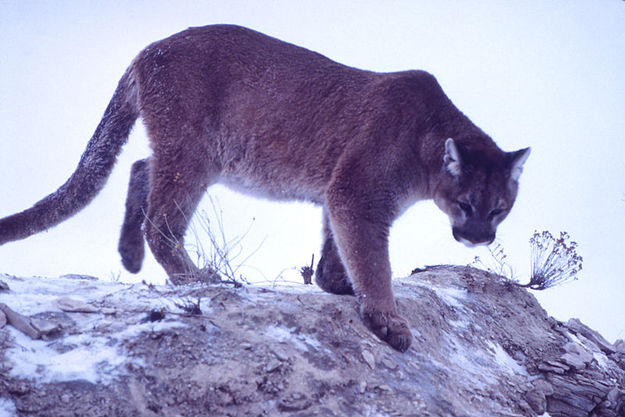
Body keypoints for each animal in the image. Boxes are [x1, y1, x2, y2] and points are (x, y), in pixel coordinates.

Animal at [0, 25, 528, 352]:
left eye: (499, 209)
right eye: (466, 204)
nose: (479, 238)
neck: (425, 143)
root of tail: (151, 48)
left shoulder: (341, 192)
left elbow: (340, 246)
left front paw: (336, 282)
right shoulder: (358, 193)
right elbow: (373, 260)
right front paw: (387, 319)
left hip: (194, 155)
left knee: (140, 166)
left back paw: (130, 256)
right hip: (194, 153)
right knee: (162, 221)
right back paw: (199, 278)